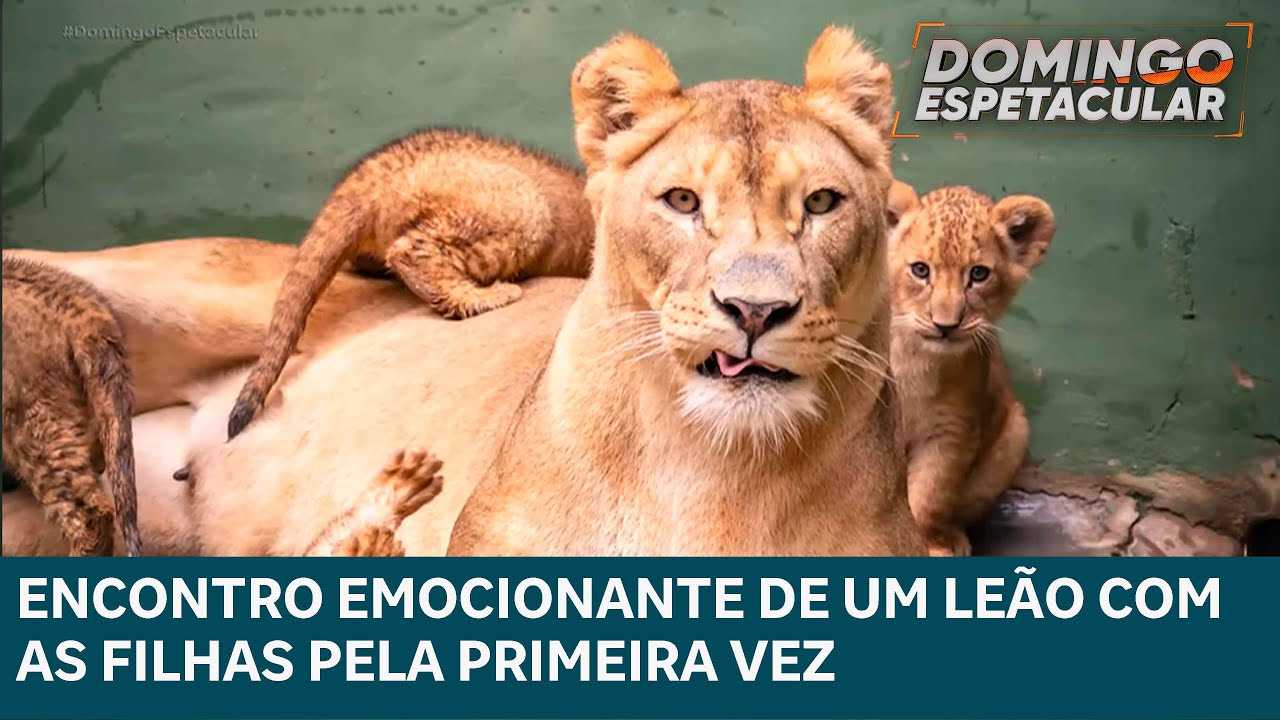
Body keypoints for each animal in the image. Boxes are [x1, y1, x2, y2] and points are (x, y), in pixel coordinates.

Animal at [885, 182, 1056, 556]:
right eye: (921, 270)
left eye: (978, 274)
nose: (945, 325)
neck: (911, 355)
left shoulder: (951, 431)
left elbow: (928, 498)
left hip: (1014, 432)